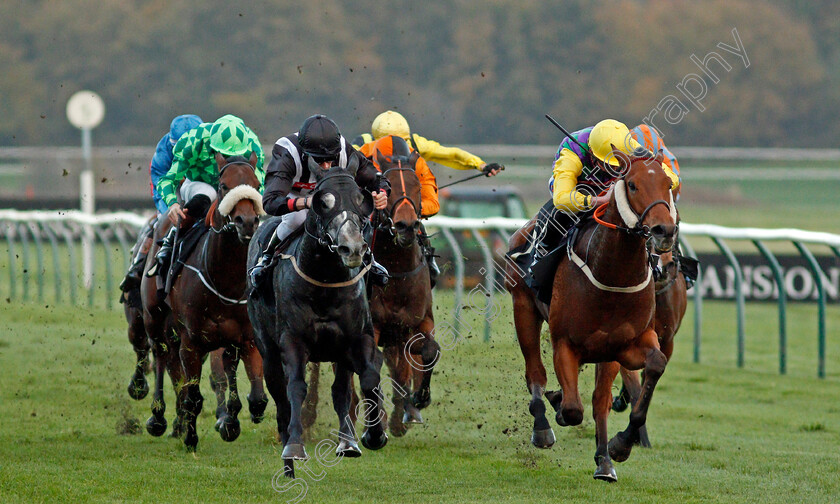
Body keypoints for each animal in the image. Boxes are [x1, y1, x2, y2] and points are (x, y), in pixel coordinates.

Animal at [506, 146, 676, 480]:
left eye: (668, 184)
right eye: (632, 185)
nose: (664, 230)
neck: (612, 273)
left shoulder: (625, 344)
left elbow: (652, 368)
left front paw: (618, 447)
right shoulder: (564, 343)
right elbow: (573, 409)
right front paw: (559, 408)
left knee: (597, 400)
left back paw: (604, 459)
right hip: (523, 308)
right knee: (535, 373)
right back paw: (542, 426)